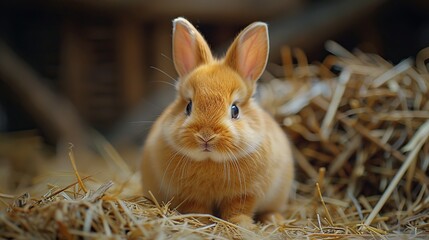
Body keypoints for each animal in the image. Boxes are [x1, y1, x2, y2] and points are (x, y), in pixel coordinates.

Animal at [141, 17, 294, 229]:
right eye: (188, 106)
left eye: (235, 110)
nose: (206, 136)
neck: (210, 161)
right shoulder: (190, 196)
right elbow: (198, 209)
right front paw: (199, 222)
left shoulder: (245, 195)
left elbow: (238, 210)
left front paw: (242, 225)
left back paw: (274, 219)